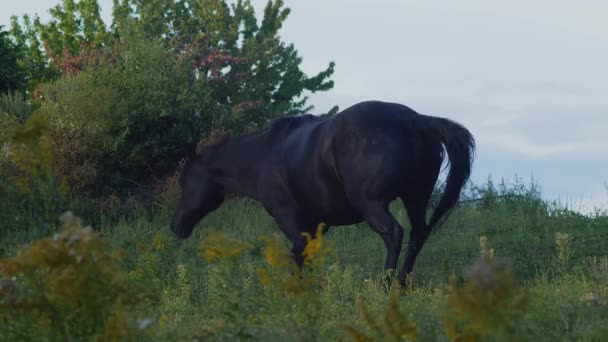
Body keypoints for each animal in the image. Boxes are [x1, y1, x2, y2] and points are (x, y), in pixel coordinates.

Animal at [171, 99, 476, 286]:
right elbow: (309, 254)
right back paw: (402, 282)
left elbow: (298, 253)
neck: (264, 155)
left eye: (186, 181)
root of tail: (418, 121)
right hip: (416, 198)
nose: (176, 225)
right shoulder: (319, 223)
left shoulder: (289, 217)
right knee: (418, 234)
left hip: (372, 204)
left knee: (394, 234)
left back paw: (385, 282)